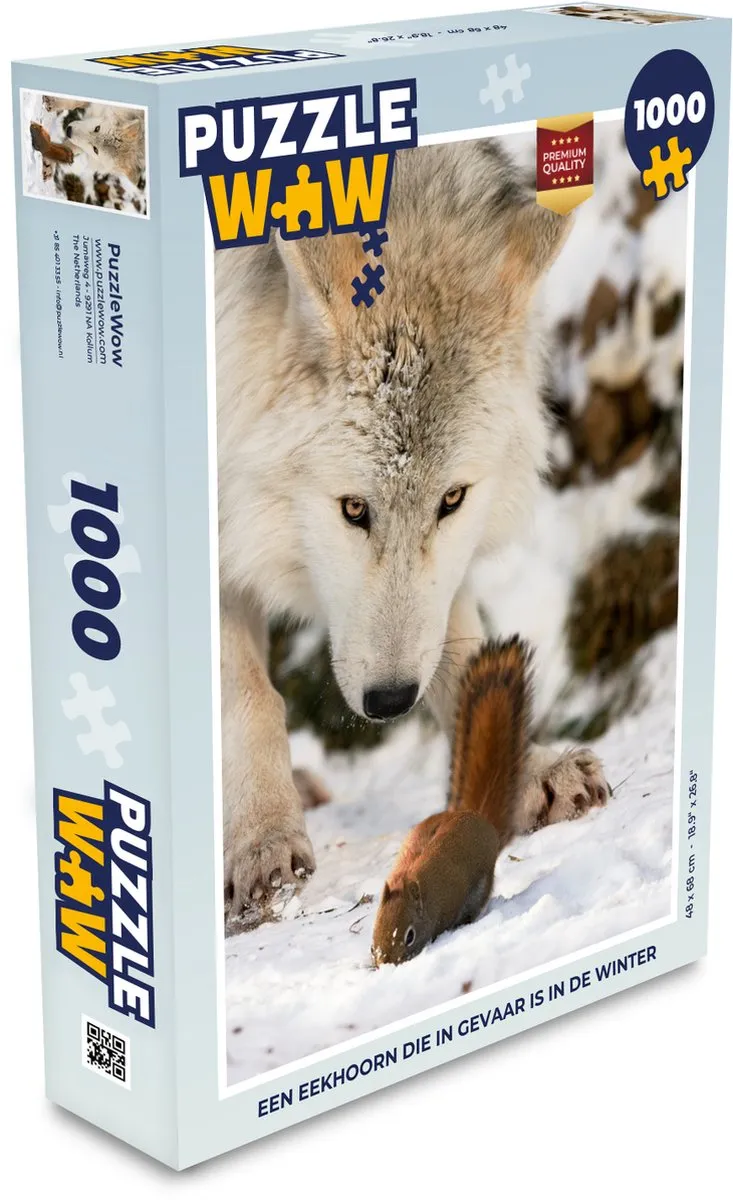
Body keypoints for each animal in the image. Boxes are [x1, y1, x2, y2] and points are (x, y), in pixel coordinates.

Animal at [216, 139, 610, 913]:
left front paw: (526, 767)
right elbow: (249, 698)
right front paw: (263, 842)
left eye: (452, 499)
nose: (392, 700)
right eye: (353, 509)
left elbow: (464, 647)